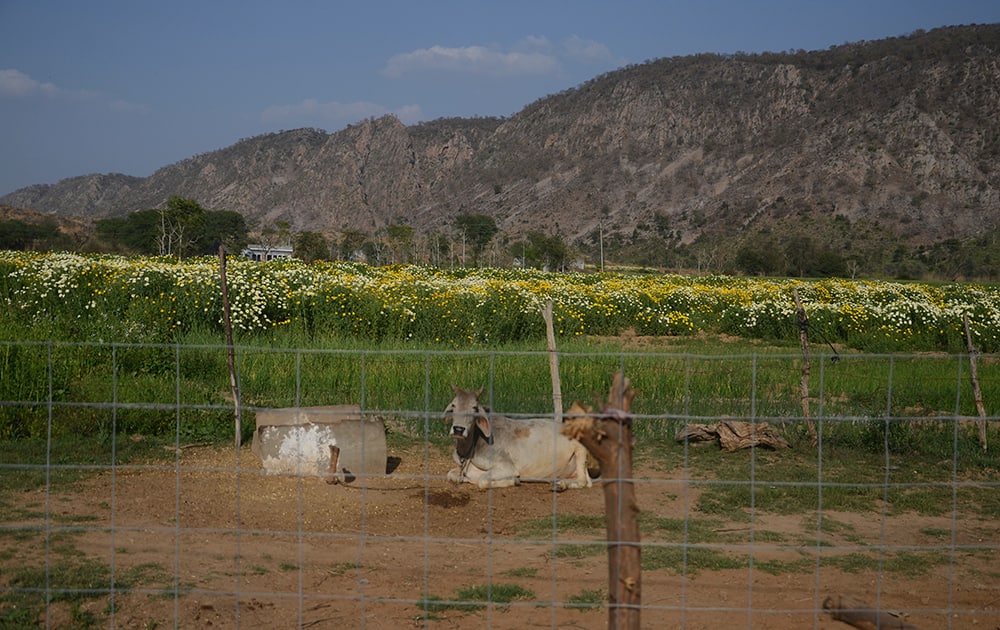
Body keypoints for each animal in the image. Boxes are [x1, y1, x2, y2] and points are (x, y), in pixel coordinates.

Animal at [440, 386, 592, 494]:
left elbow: (482, 481)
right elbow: (451, 474)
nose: (458, 429)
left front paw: (514, 481)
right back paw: (559, 483)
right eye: (453, 405)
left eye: (474, 408)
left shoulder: (507, 467)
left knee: (583, 481)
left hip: (581, 451)